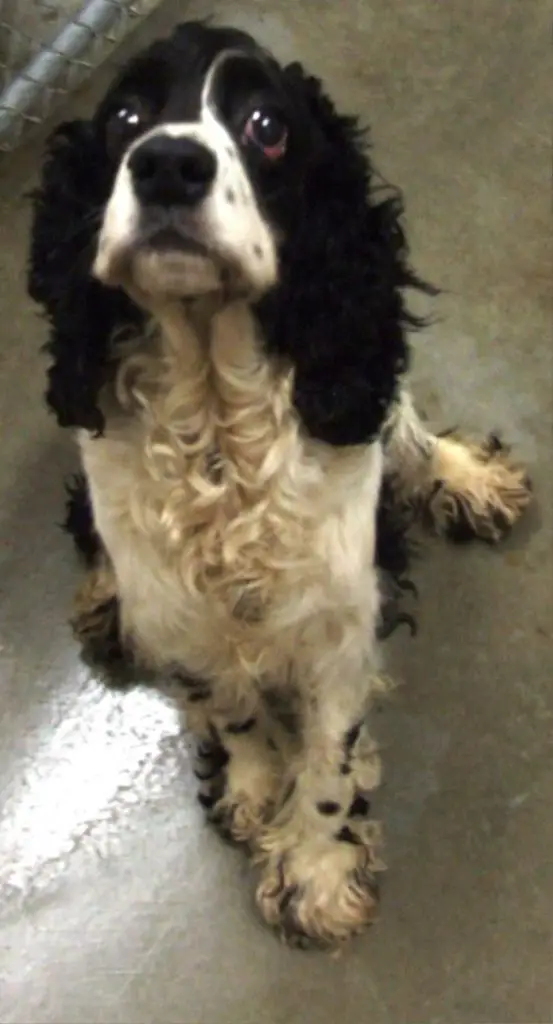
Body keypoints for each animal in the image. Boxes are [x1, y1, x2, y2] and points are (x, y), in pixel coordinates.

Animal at [27, 22, 532, 950]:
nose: (168, 164)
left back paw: (462, 475)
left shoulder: (338, 611)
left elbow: (330, 756)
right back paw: (106, 601)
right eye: (124, 117)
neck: (217, 431)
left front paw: (316, 870)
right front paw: (252, 784)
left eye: (266, 126)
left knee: (400, 418)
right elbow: (225, 703)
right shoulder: (180, 602)